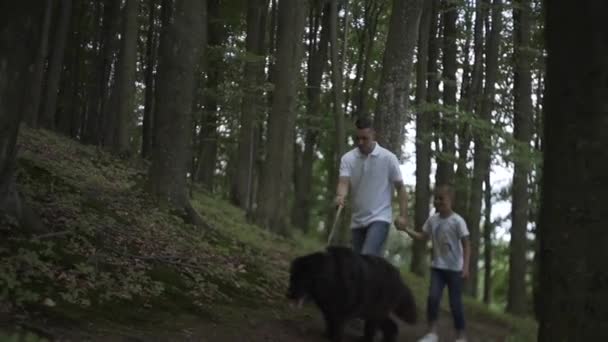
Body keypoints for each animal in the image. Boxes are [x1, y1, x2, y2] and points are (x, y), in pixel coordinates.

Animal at [288, 246, 416, 342]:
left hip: (376, 313)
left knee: (375, 329)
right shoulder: (328, 309)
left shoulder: (341, 312)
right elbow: (329, 323)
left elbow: (337, 327)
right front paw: (327, 335)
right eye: (292, 277)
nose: (289, 295)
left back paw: (366, 340)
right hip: (374, 312)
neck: (332, 276)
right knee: (391, 327)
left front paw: (334, 339)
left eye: (302, 279)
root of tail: (401, 281)